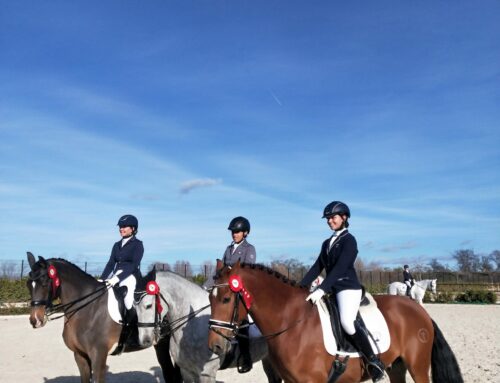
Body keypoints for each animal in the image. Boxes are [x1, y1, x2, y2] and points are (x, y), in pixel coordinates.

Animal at [25, 252, 182, 383]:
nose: (35, 320)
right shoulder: (80, 356)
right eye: (28, 284)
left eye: (45, 282)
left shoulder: (98, 355)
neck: (87, 308)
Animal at [134, 268, 282, 382]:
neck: (192, 325)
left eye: (148, 305)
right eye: (134, 307)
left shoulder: (207, 374)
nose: (145, 340)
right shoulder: (186, 371)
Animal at [206, 260, 460, 383]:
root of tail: (419, 311)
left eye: (227, 298)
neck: (292, 322)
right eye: (210, 298)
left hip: (417, 367)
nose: (215, 346)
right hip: (396, 366)